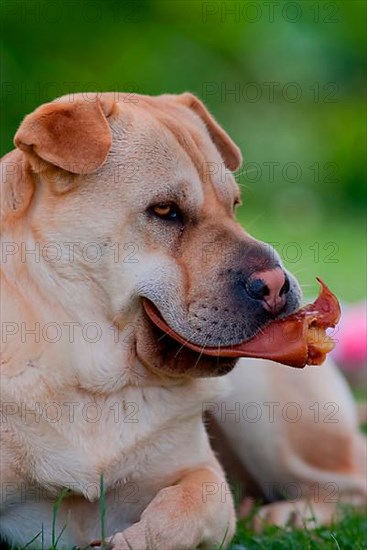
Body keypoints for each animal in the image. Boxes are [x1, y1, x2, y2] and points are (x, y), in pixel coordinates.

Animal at [0, 92, 366, 548]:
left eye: (234, 206)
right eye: (164, 210)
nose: (278, 284)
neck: (95, 377)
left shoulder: (202, 476)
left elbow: (187, 505)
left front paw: (132, 541)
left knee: (350, 484)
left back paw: (288, 515)